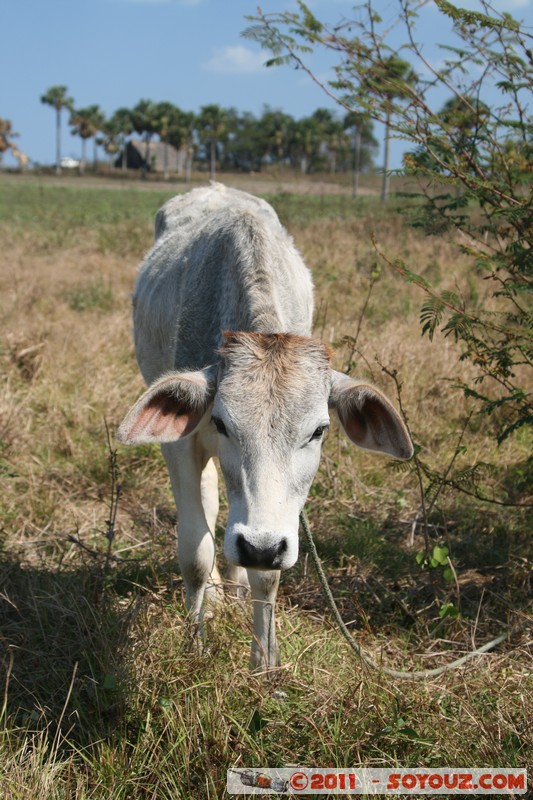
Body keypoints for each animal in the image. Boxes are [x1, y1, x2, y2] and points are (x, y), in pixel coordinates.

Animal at [117, 184, 412, 672]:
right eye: (222, 421)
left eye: (318, 431)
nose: (259, 546)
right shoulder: (182, 446)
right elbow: (195, 551)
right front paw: (195, 647)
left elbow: (267, 578)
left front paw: (264, 662)